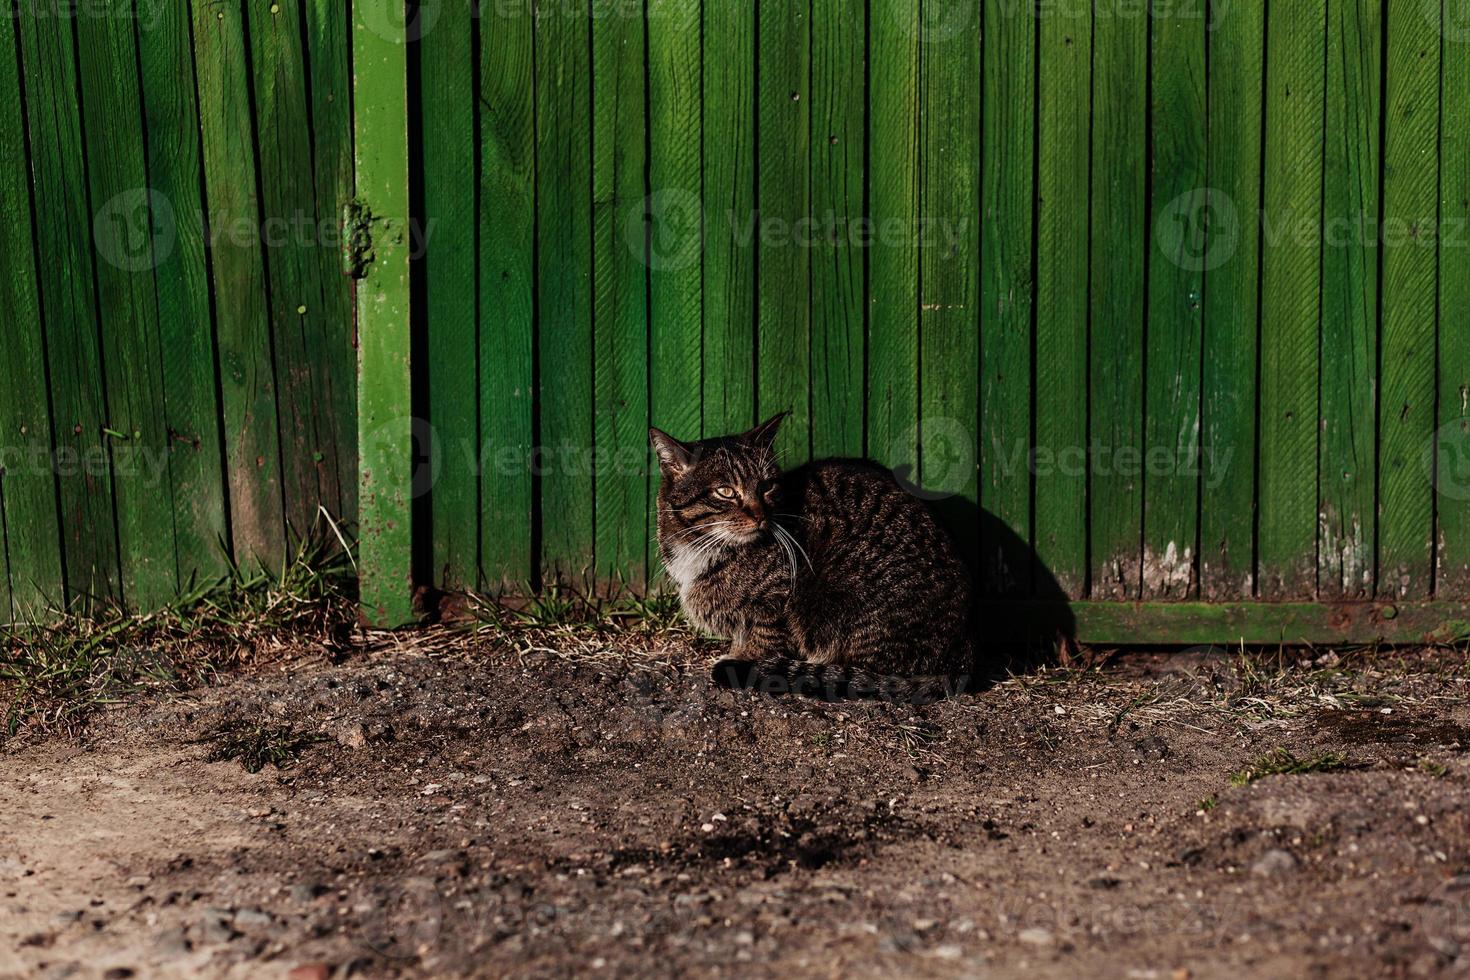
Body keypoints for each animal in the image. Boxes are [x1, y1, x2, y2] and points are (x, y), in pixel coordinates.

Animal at [652, 414, 976, 705]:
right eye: (726, 491)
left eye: (766, 486)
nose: (760, 515)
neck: (703, 545)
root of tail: (963, 657)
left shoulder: (775, 603)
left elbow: (765, 640)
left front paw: (747, 661)